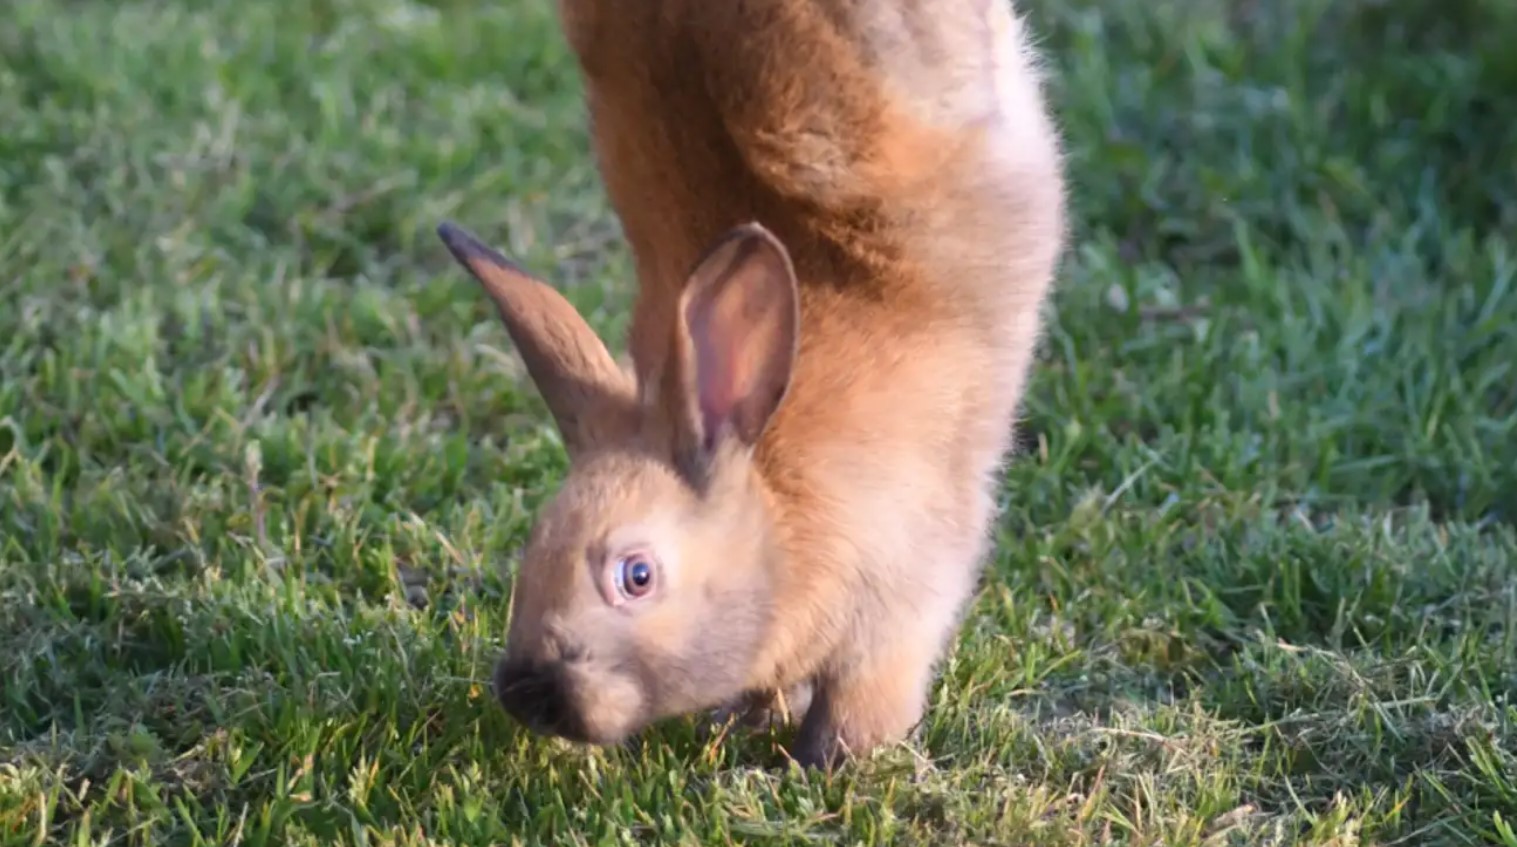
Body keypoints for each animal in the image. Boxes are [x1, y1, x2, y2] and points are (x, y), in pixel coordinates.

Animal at [439, 0, 1067, 774]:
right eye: (534, 545)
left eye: (636, 575)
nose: (527, 695)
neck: (781, 517)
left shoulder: (899, 608)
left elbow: (862, 703)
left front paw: (826, 764)